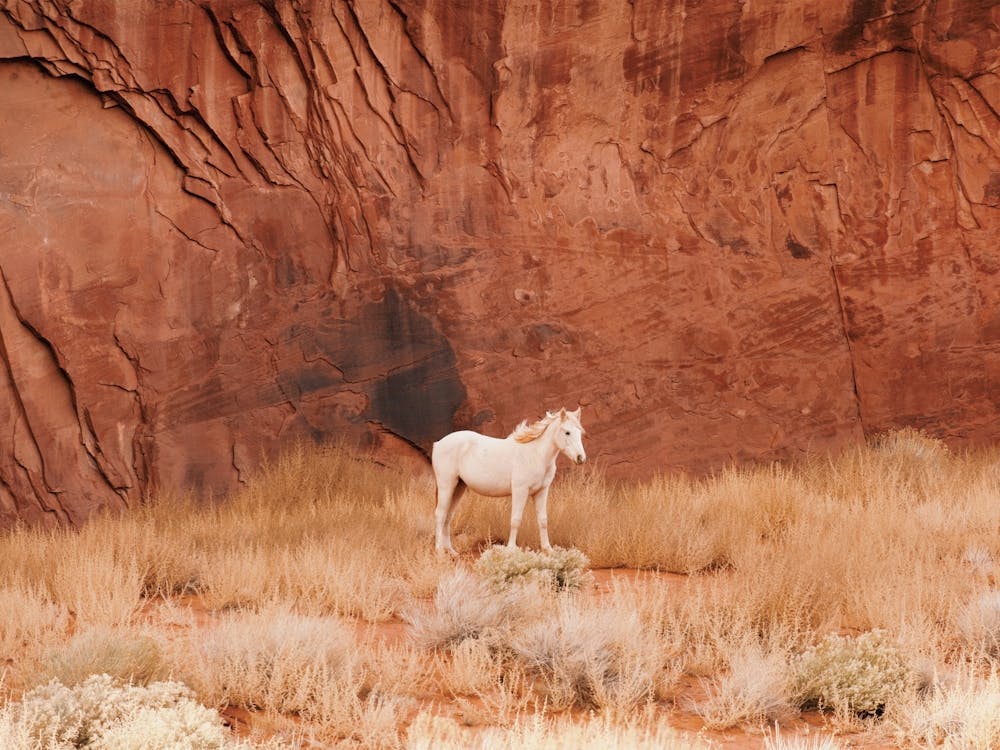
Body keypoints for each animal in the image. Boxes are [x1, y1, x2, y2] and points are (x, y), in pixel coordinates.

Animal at [431, 407, 587, 556]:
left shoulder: (542, 492)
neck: (535, 454)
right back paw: (439, 551)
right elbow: (515, 520)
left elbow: (543, 520)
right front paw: (511, 549)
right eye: (567, 432)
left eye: (579, 432)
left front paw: (548, 549)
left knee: (448, 517)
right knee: (440, 515)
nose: (580, 458)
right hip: (446, 486)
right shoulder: (520, 491)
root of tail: (438, 444)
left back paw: (451, 551)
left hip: (458, 487)